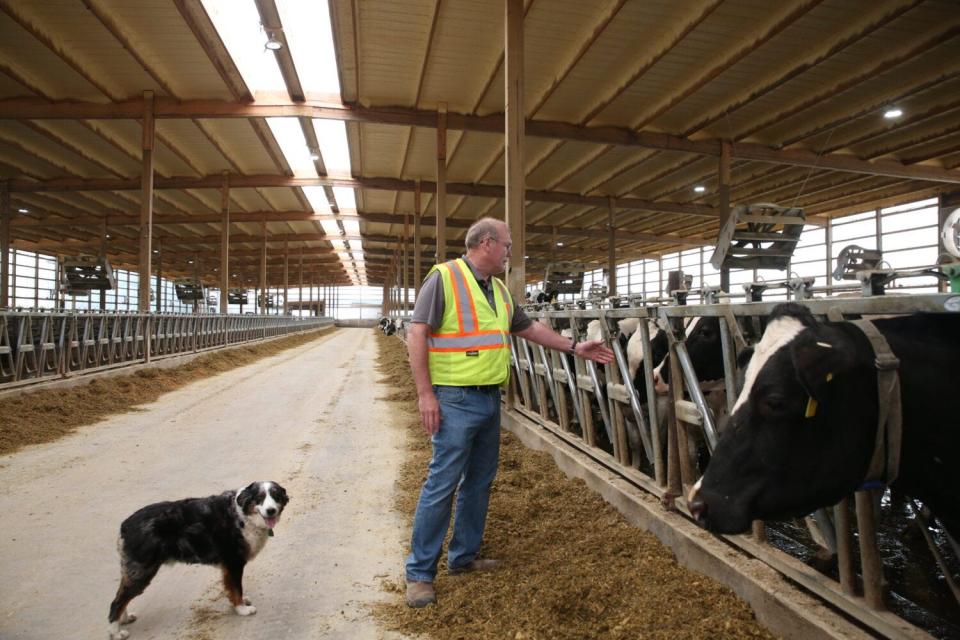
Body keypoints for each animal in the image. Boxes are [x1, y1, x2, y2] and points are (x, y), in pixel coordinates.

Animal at [108, 482, 288, 636]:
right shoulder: (234, 563)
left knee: (121, 597)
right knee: (116, 602)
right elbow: (237, 588)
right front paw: (242, 609)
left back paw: (124, 619)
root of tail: (125, 526)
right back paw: (116, 633)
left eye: (276, 496)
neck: (243, 516)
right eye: (259, 498)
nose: (271, 510)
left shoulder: (228, 567)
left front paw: (240, 603)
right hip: (142, 571)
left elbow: (232, 588)